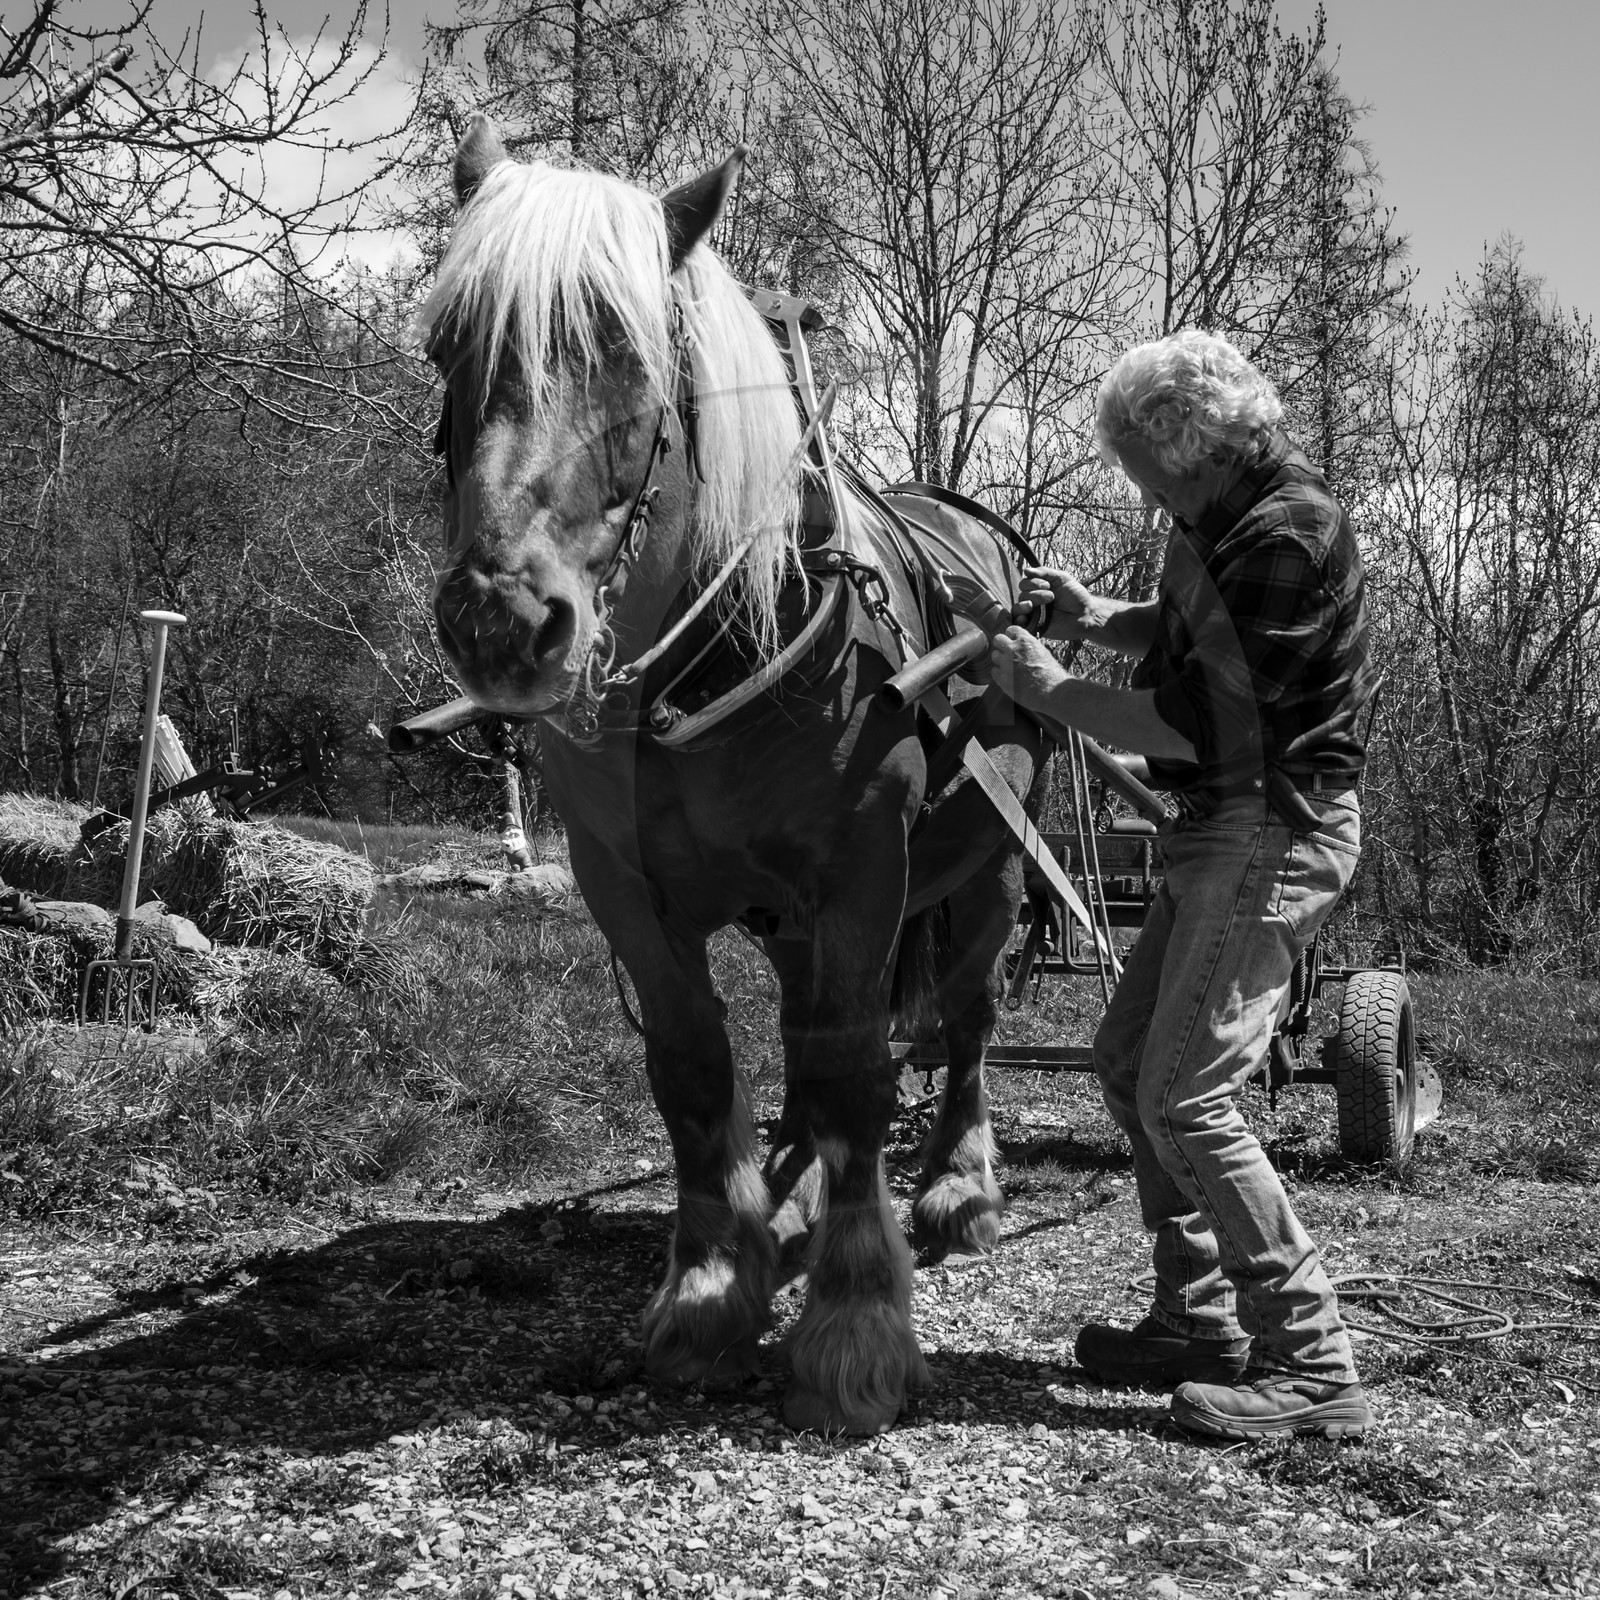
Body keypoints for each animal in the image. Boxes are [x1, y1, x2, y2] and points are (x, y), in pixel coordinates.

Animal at [425, 114, 1049, 1435]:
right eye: (447, 344)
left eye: (625, 346)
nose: (502, 621)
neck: (704, 655)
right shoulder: (625, 885)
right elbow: (697, 1069)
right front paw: (715, 1284)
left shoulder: (864, 867)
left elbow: (859, 1068)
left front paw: (857, 1319)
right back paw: (802, 1189)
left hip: (990, 866)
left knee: (962, 1019)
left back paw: (957, 1185)